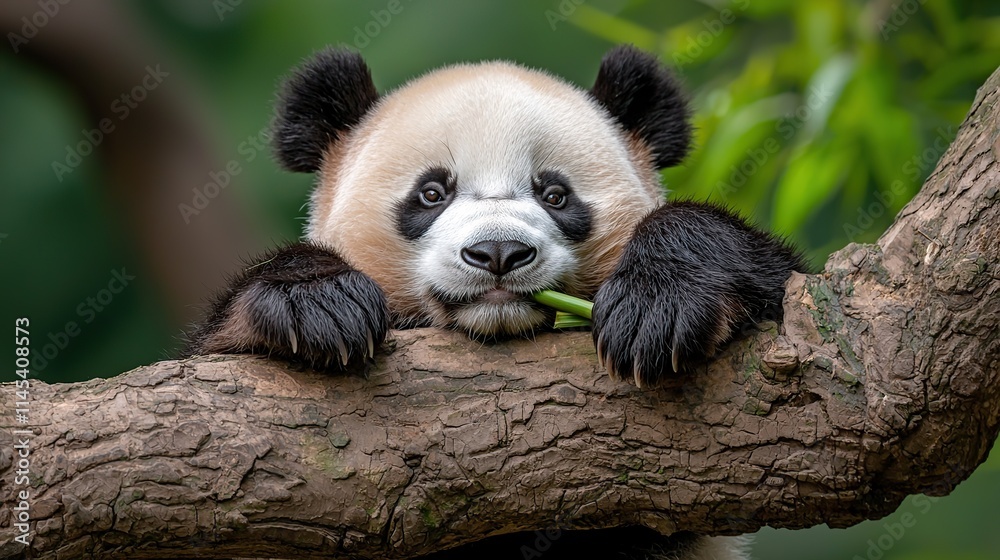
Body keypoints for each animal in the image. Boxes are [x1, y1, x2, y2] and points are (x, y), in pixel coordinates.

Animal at [186, 45, 804, 559]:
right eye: (432, 193)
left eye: (554, 194)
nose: (499, 252)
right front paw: (320, 307)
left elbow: (776, 279)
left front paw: (658, 308)